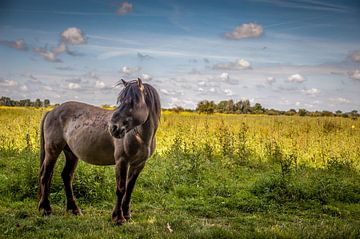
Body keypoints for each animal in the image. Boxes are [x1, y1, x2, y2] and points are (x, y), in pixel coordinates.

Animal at [38, 78, 160, 224]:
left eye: (133, 102)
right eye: (121, 101)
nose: (113, 128)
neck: (140, 137)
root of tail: (51, 111)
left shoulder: (139, 164)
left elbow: (129, 189)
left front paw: (127, 215)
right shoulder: (122, 161)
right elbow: (121, 188)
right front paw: (118, 218)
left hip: (71, 153)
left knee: (66, 176)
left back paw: (74, 210)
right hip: (52, 150)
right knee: (45, 175)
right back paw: (46, 209)